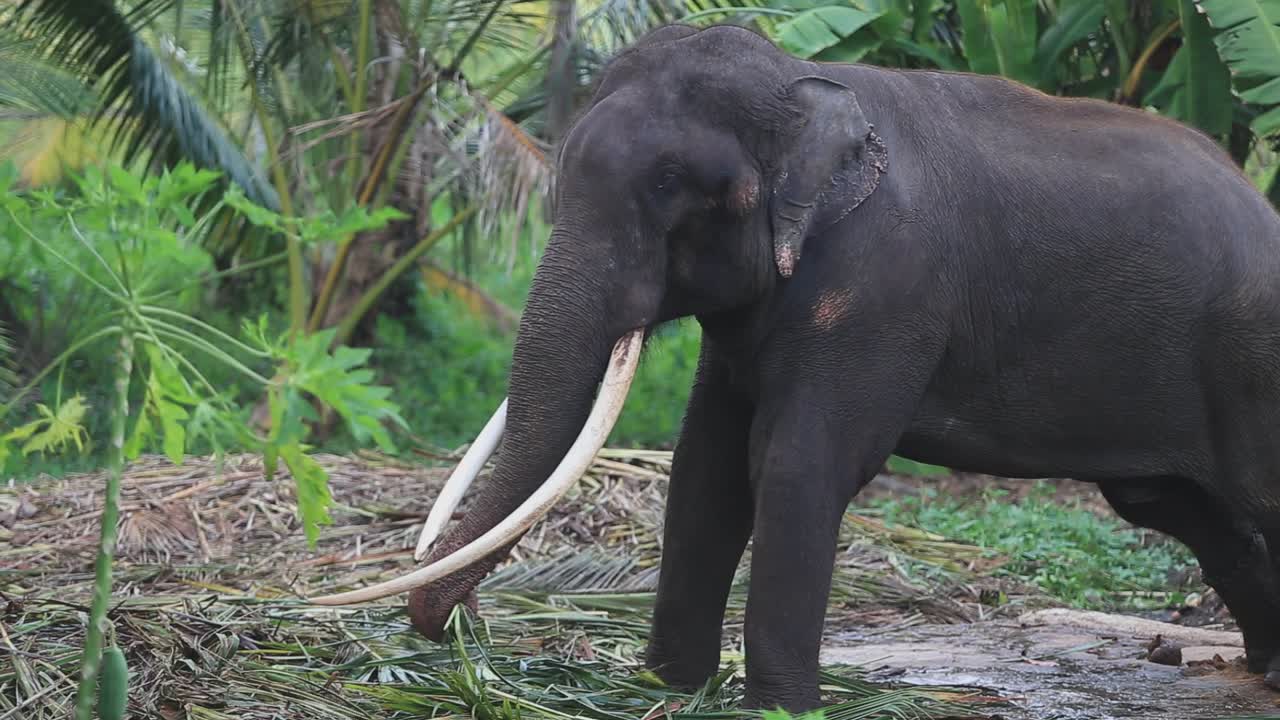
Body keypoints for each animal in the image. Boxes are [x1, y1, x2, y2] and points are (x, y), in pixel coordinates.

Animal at [311, 23, 1280, 711]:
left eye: (675, 189)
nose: (464, 634)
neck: (803, 81)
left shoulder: (884, 289)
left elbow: (797, 465)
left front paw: (776, 709)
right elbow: (704, 468)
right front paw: (666, 690)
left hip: (1250, 357)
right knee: (1187, 512)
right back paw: (1269, 669)